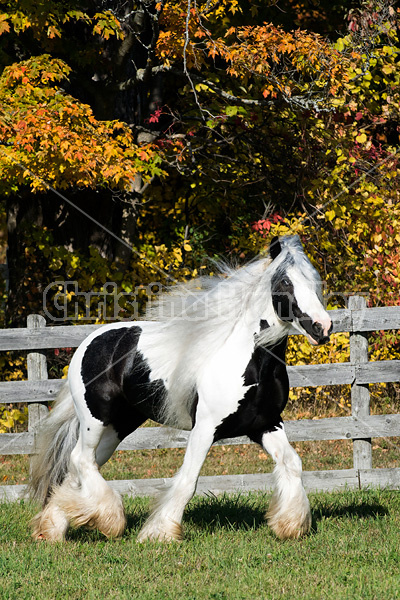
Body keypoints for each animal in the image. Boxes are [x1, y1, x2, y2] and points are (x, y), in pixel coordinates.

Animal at [30, 236, 332, 544]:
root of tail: (90, 341)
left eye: (314, 278)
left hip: (119, 425)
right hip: (95, 418)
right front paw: (159, 534)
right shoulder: (206, 428)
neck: (247, 361)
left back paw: (52, 529)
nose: (322, 327)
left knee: (79, 467)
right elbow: (188, 481)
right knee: (80, 459)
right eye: (285, 281)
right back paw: (108, 520)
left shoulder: (266, 424)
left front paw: (290, 525)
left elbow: (293, 463)